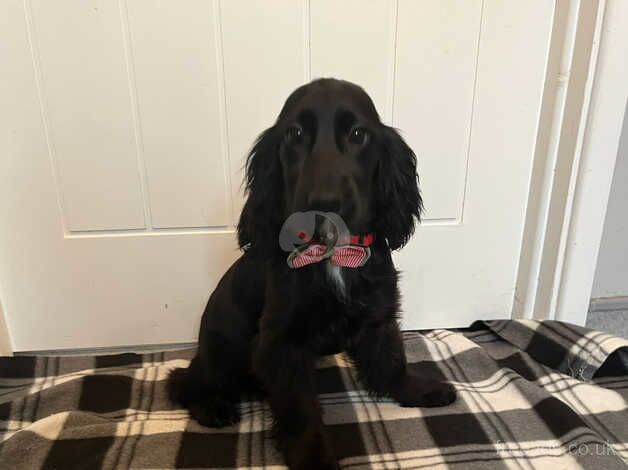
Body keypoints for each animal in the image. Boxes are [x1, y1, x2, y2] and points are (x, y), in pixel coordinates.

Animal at [169, 79, 456, 468]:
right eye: (295, 133)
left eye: (358, 134)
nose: (325, 203)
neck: (333, 257)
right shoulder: (282, 343)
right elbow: (300, 409)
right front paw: (313, 459)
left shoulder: (378, 316)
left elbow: (391, 360)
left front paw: (419, 389)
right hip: (223, 348)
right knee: (185, 381)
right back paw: (212, 408)